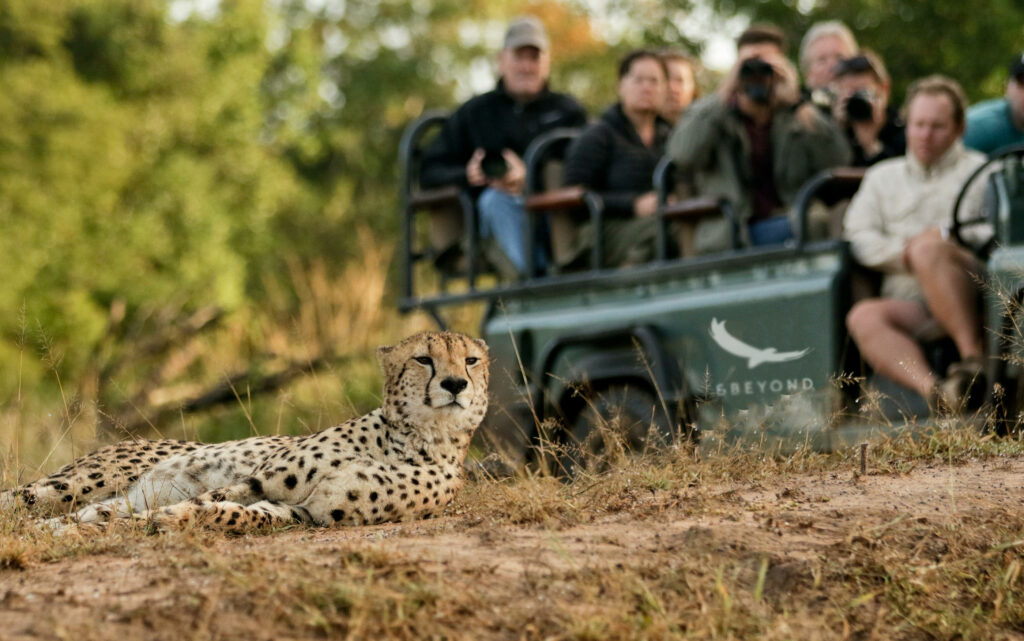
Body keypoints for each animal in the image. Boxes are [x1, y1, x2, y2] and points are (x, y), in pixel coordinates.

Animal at [1, 329, 487, 528]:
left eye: (471, 360)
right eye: (423, 359)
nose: (455, 384)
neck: (410, 439)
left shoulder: (308, 513)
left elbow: (240, 515)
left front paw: (177, 519)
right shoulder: (260, 478)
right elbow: (211, 498)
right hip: (75, 483)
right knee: (25, 498)